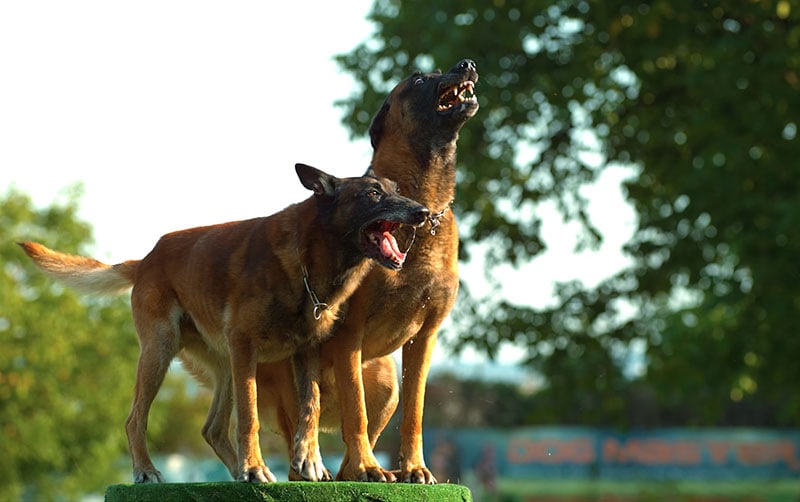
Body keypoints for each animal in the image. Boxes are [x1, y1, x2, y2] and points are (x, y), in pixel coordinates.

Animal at [17, 164, 432, 482]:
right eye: (373, 194)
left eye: (396, 190)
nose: (424, 213)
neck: (309, 260)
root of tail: (148, 257)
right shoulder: (245, 346)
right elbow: (249, 418)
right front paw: (255, 467)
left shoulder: (305, 354)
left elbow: (309, 407)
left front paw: (309, 460)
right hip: (162, 352)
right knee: (135, 419)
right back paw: (148, 471)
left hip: (225, 367)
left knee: (212, 429)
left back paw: (235, 474)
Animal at [253, 57, 482, 482]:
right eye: (419, 80)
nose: (467, 64)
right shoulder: (349, 334)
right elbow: (354, 411)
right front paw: (368, 466)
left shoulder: (424, 339)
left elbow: (415, 413)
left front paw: (414, 467)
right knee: (311, 427)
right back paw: (337, 467)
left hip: (386, 379)